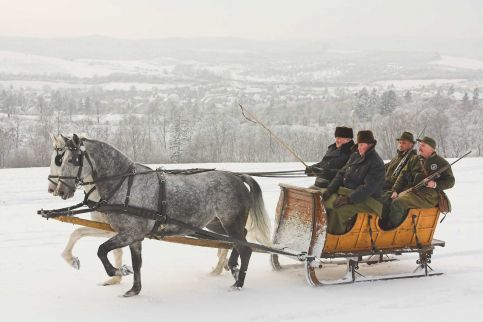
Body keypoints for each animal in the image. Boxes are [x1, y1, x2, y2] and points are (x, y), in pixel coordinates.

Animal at [49, 134, 272, 296]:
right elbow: (137, 263)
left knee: (245, 248)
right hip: (216, 224)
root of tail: (237, 177)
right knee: (237, 241)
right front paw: (134, 289)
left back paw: (238, 283)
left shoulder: (131, 232)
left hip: (230, 221)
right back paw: (232, 267)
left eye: (72, 160)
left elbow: (101, 250)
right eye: (61, 159)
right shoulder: (133, 236)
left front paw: (118, 271)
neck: (125, 184)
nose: (60, 190)